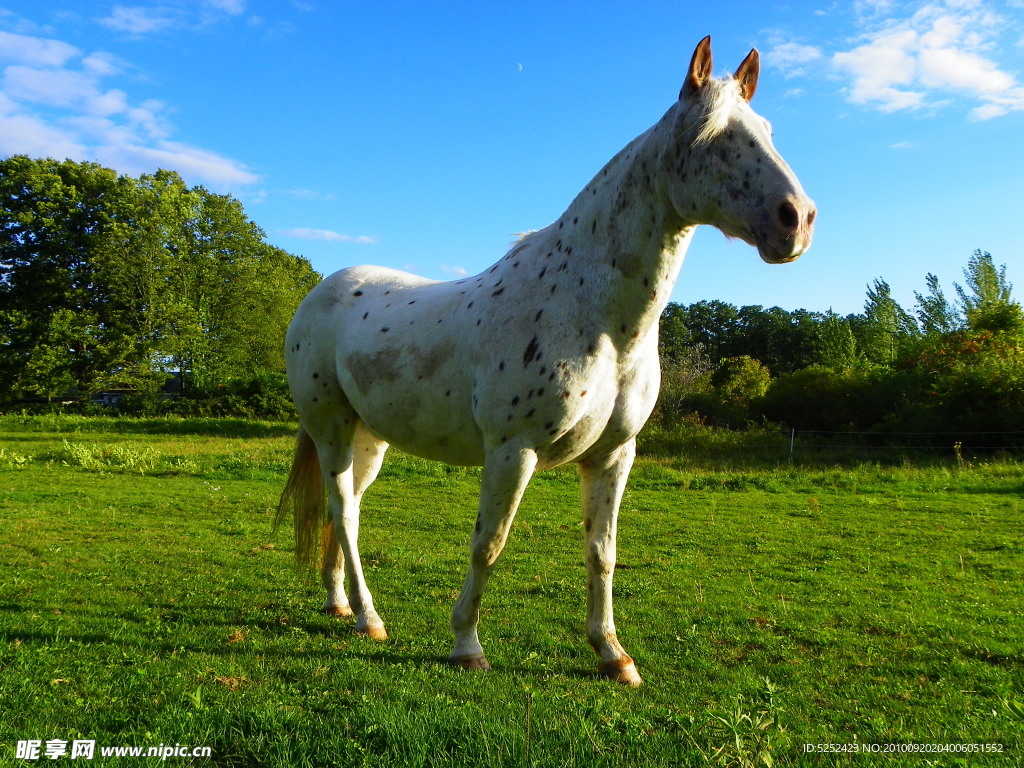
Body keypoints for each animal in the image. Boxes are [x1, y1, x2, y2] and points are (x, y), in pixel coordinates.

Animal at [274, 34, 815, 684]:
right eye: (711, 134)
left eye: (767, 130)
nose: (797, 220)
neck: (596, 318)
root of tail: (320, 292)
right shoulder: (514, 451)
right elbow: (489, 543)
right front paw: (466, 645)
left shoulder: (613, 456)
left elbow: (602, 552)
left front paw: (612, 654)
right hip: (330, 428)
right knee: (344, 513)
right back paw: (369, 618)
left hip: (369, 438)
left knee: (344, 510)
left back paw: (340, 604)